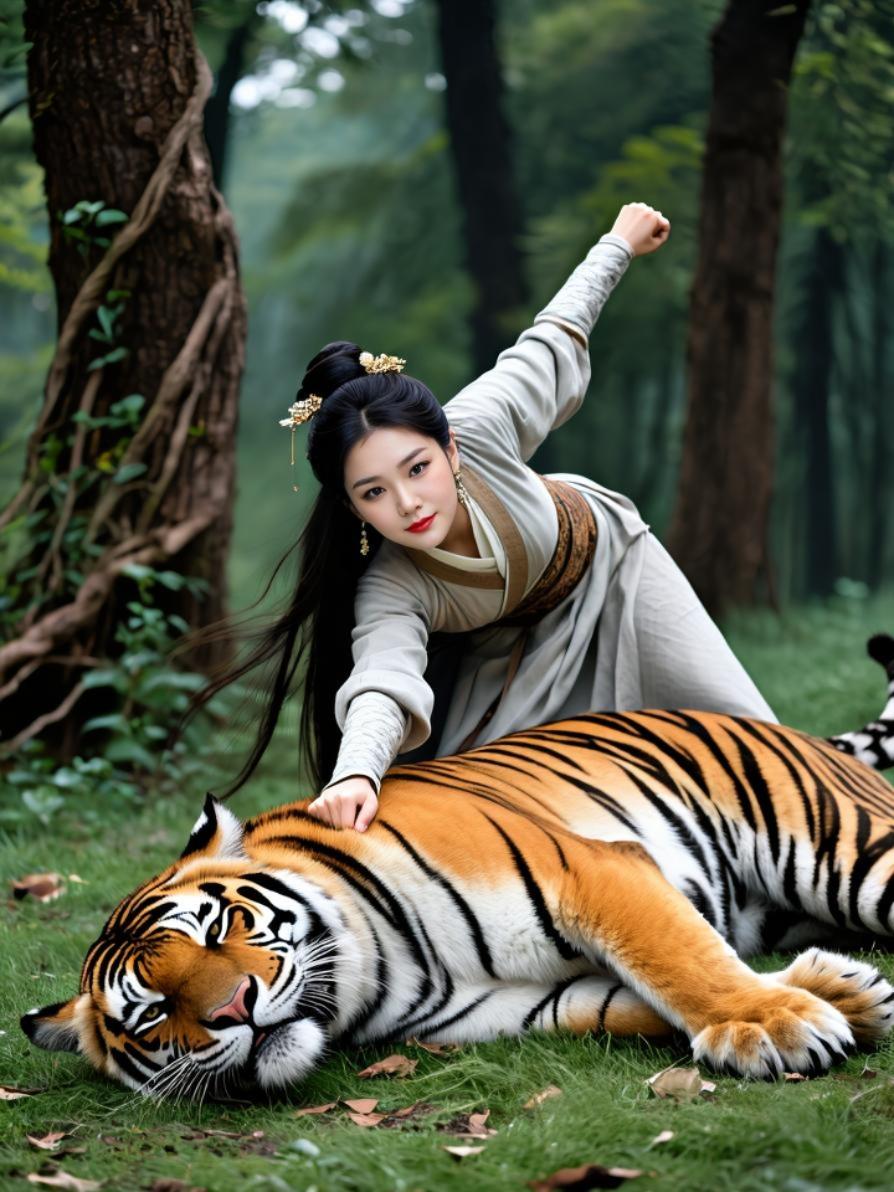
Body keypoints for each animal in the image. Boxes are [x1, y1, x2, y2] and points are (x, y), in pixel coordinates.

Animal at [21, 635, 894, 1100]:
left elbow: (678, 959)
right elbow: (632, 1001)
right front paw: (843, 993)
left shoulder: (591, 870)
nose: (237, 1008)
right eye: (153, 1012)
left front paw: (771, 1023)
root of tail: (814, 739)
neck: (374, 978)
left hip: (848, 851)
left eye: (218, 929)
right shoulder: (516, 1009)